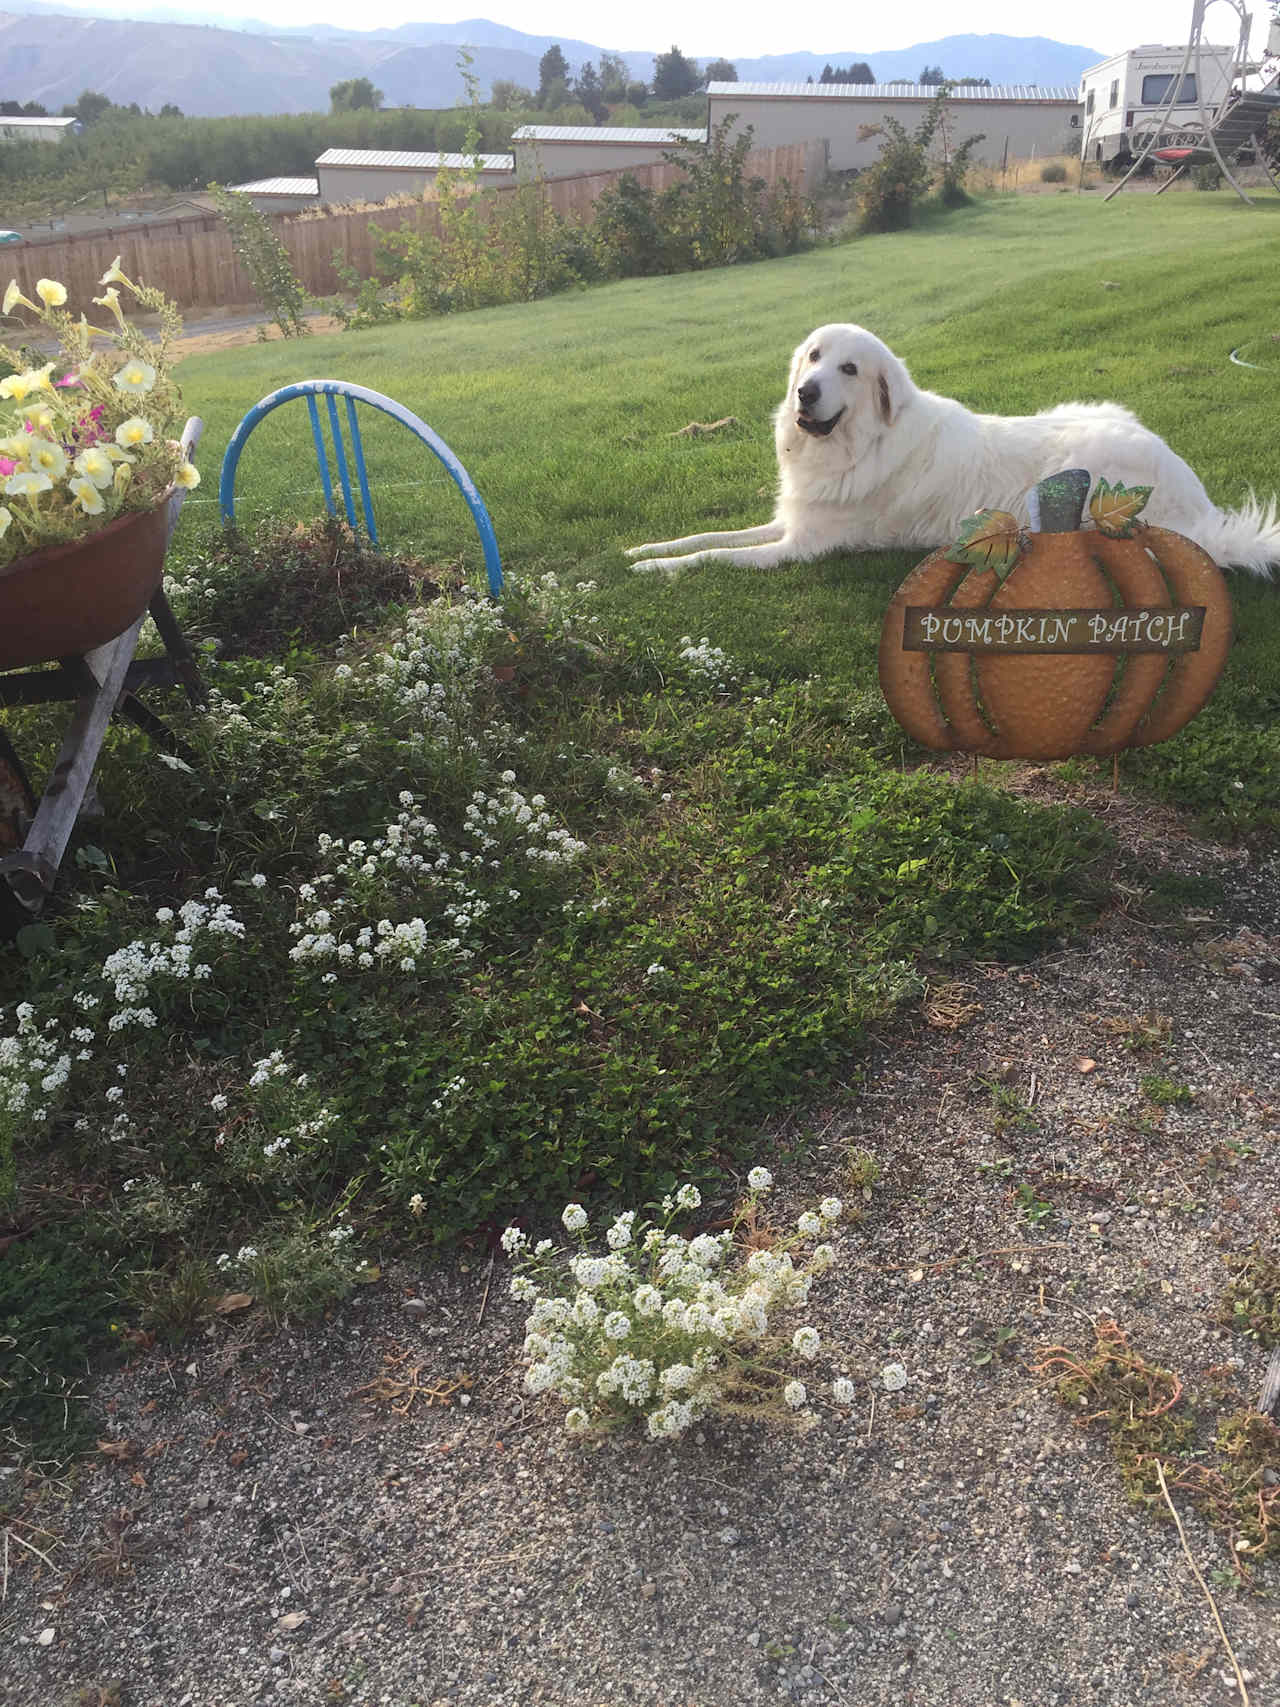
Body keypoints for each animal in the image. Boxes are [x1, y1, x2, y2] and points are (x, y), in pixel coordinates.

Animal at [631, 322, 1280, 576]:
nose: (804, 391)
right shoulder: (790, 520)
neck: (856, 444)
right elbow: (707, 535)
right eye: (813, 356)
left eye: (849, 369)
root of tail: (1198, 504)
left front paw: (659, 570)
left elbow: (715, 556)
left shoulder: (802, 546)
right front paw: (646, 549)